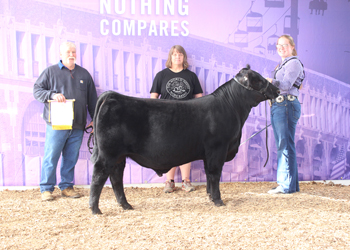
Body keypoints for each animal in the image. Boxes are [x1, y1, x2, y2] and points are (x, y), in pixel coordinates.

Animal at [89, 64, 278, 213]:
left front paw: (210, 196)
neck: (231, 107)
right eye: (259, 80)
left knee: (116, 178)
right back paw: (95, 209)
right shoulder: (218, 148)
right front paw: (218, 200)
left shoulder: (208, 153)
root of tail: (112, 96)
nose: (277, 89)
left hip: (119, 157)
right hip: (108, 154)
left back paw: (126, 205)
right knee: (99, 176)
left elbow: (209, 174)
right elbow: (215, 173)